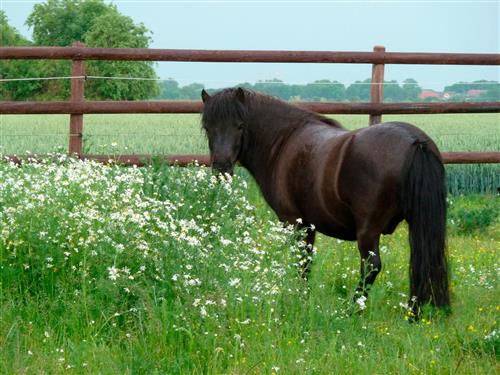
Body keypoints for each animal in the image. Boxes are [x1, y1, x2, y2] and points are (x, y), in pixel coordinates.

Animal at [201, 86, 452, 316]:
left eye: (240, 125)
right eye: (207, 128)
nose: (221, 168)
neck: (283, 140)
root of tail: (415, 141)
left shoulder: (295, 222)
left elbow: (302, 263)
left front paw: (301, 300)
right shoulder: (309, 224)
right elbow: (306, 262)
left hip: (368, 229)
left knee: (372, 266)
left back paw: (353, 310)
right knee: (424, 261)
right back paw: (414, 314)